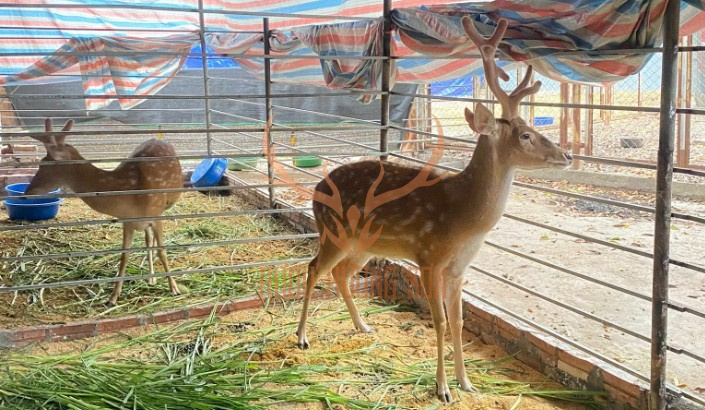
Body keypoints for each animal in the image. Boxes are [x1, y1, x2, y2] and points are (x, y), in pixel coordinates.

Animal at [25, 118, 183, 306]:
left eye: (43, 164)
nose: (26, 193)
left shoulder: (156, 214)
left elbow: (163, 252)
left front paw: (174, 288)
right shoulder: (127, 220)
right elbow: (124, 256)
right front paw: (113, 297)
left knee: (151, 240)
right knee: (147, 239)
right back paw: (151, 278)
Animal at [290, 17, 573, 402]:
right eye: (525, 135)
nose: (566, 155)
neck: (465, 217)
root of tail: (316, 188)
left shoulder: (459, 268)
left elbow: (458, 320)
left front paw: (467, 382)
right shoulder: (428, 256)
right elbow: (438, 320)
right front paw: (442, 388)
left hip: (364, 244)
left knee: (341, 273)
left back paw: (363, 326)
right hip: (333, 231)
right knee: (313, 267)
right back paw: (302, 337)